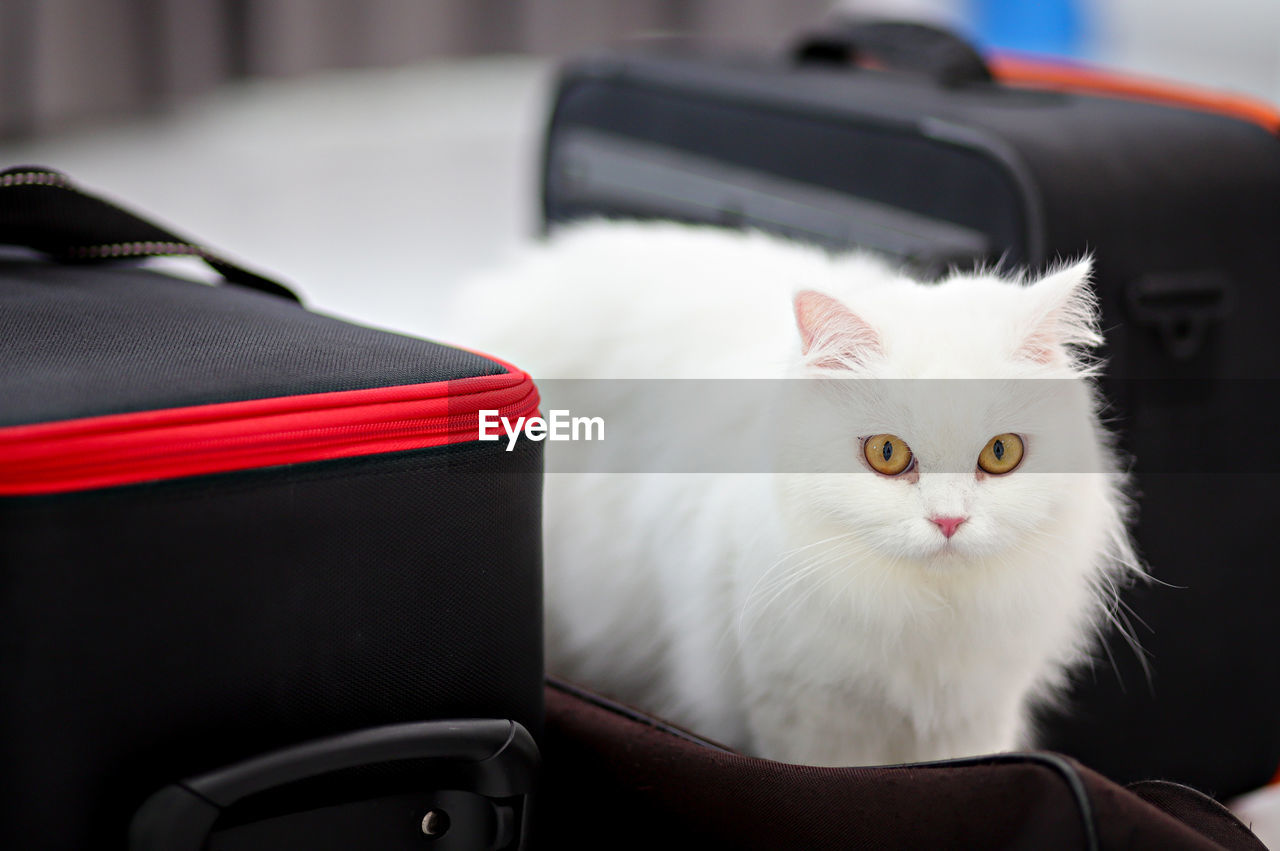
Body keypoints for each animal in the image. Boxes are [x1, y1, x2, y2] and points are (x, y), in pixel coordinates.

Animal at [450, 218, 1141, 762]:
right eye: (887, 454)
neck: (926, 613)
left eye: (1000, 454)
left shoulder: (974, 719)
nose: (949, 522)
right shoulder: (806, 713)